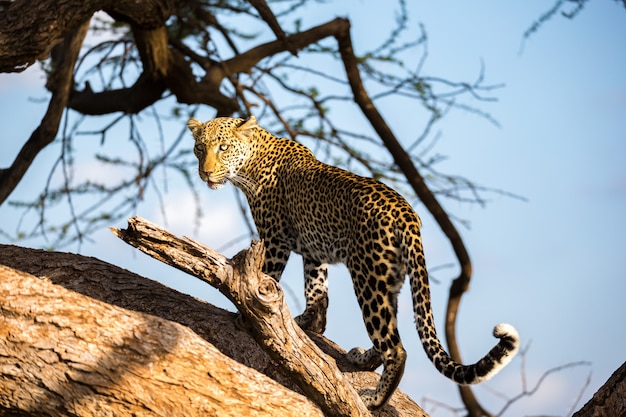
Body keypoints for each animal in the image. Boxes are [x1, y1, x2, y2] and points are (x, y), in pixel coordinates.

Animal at [188, 115, 520, 408]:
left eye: (223, 148)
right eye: (200, 148)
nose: (206, 173)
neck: (252, 161)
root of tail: (408, 214)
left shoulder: (275, 239)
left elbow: (266, 277)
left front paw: (248, 315)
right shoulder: (314, 251)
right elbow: (317, 290)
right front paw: (310, 323)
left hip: (368, 276)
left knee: (396, 348)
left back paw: (375, 399)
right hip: (390, 278)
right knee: (389, 332)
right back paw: (363, 358)